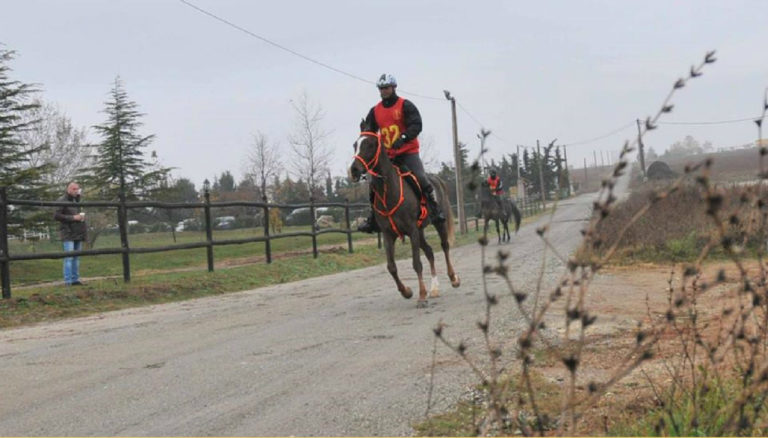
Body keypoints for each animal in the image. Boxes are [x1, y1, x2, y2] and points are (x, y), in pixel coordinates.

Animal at [350, 121, 462, 310]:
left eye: (370, 144)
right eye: (355, 145)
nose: (354, 169)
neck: (389, 192)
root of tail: (434, 179)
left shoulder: (411, 230)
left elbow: (416, 263)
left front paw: (422, 296)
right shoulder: (389, 234)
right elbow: (391, 267)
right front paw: (407, 291)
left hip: (436, 224)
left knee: (444, 246)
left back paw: (453, 278)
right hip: (420, 231)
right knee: (430, 252)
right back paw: (434, 288)